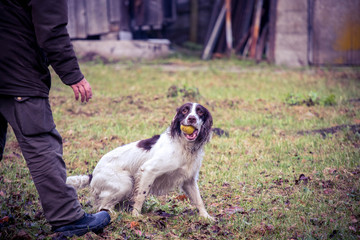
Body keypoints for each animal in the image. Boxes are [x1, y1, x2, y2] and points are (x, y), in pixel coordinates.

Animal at [67, 102, 214, 220]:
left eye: (200, 111)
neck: (184, 146)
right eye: (185, 111)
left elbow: (199, 200)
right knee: (102, 206)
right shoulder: (149, 170)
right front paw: (136, 214)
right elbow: (141, 195)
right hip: (125, 183)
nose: (191, 118)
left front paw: (206, 217)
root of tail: (93, 174)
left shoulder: (189, 180)